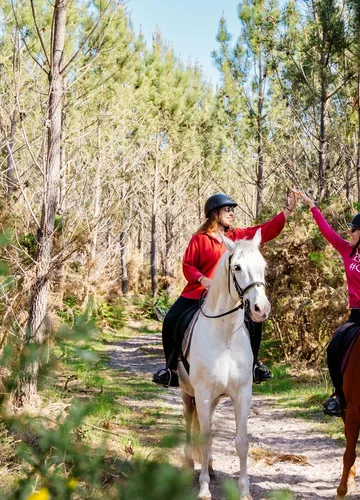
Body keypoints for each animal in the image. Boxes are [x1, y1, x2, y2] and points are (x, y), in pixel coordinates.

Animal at [179, 230, 272, 500]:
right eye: (237, 267)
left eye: (263, 266)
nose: (261, 309)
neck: (226, 336)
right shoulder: (202, 393)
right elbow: (205, 438)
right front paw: (204, 489)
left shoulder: (242, 393)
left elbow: (241, 442)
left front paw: (244, 491)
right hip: (187, 393)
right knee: (189, 418)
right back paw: (190, 462)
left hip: (215, 398)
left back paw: (209, 465)